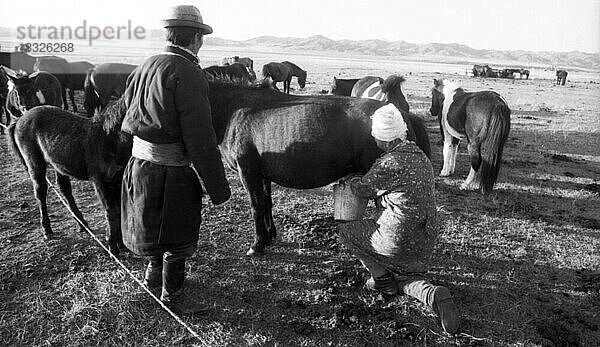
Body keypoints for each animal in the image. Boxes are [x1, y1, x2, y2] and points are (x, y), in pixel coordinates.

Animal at [7, 98, 131, 256]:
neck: (110, 138)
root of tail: (19, 120)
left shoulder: (117, 179)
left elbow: (119, 209)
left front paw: (120, 243)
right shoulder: (100, 181)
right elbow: (111, 211)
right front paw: (112, 247)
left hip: (58, 165)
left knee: (64, 189)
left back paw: (82, 224)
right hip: (35, 164)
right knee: (41, 192)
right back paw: (47, 230)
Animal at [206, 77, 432, 256]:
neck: (235, 109)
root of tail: (404, 113)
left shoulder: (248, 173)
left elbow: (256, 207)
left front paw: (257, 244)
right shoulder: (262, 175)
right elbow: (266, 203)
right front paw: (269, 236)